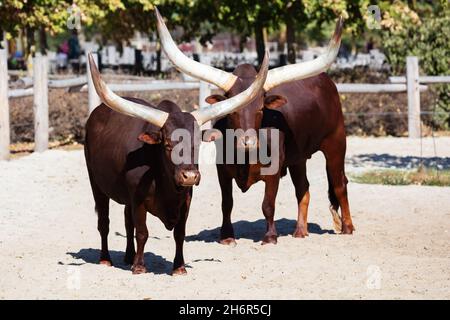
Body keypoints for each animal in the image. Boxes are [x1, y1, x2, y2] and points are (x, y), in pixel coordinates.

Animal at [83, 53, 268, 274]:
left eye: (198, 143)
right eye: (168, 145)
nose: (189, 176)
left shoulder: (185, 199)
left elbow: (179, 234)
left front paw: (179, 267)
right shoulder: (138, 199)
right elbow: (142, 232)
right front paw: (140, 267)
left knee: (127, 221)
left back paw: (128, 256)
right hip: (96, 183)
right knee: (104, 221)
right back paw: (106, 259)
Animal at [156, 10, 356, 245]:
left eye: (261, 108)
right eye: (232, 109)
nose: (248, 142)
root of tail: (328, 83)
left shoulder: (274, 169)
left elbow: (268, 204)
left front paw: (270, 237)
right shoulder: (222, 170)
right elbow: (227, 204)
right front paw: (227, 236)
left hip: (336, 143)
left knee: (340, 184)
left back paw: (348, 227)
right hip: (298, 158)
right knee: (303, 188)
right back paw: (300, 230)